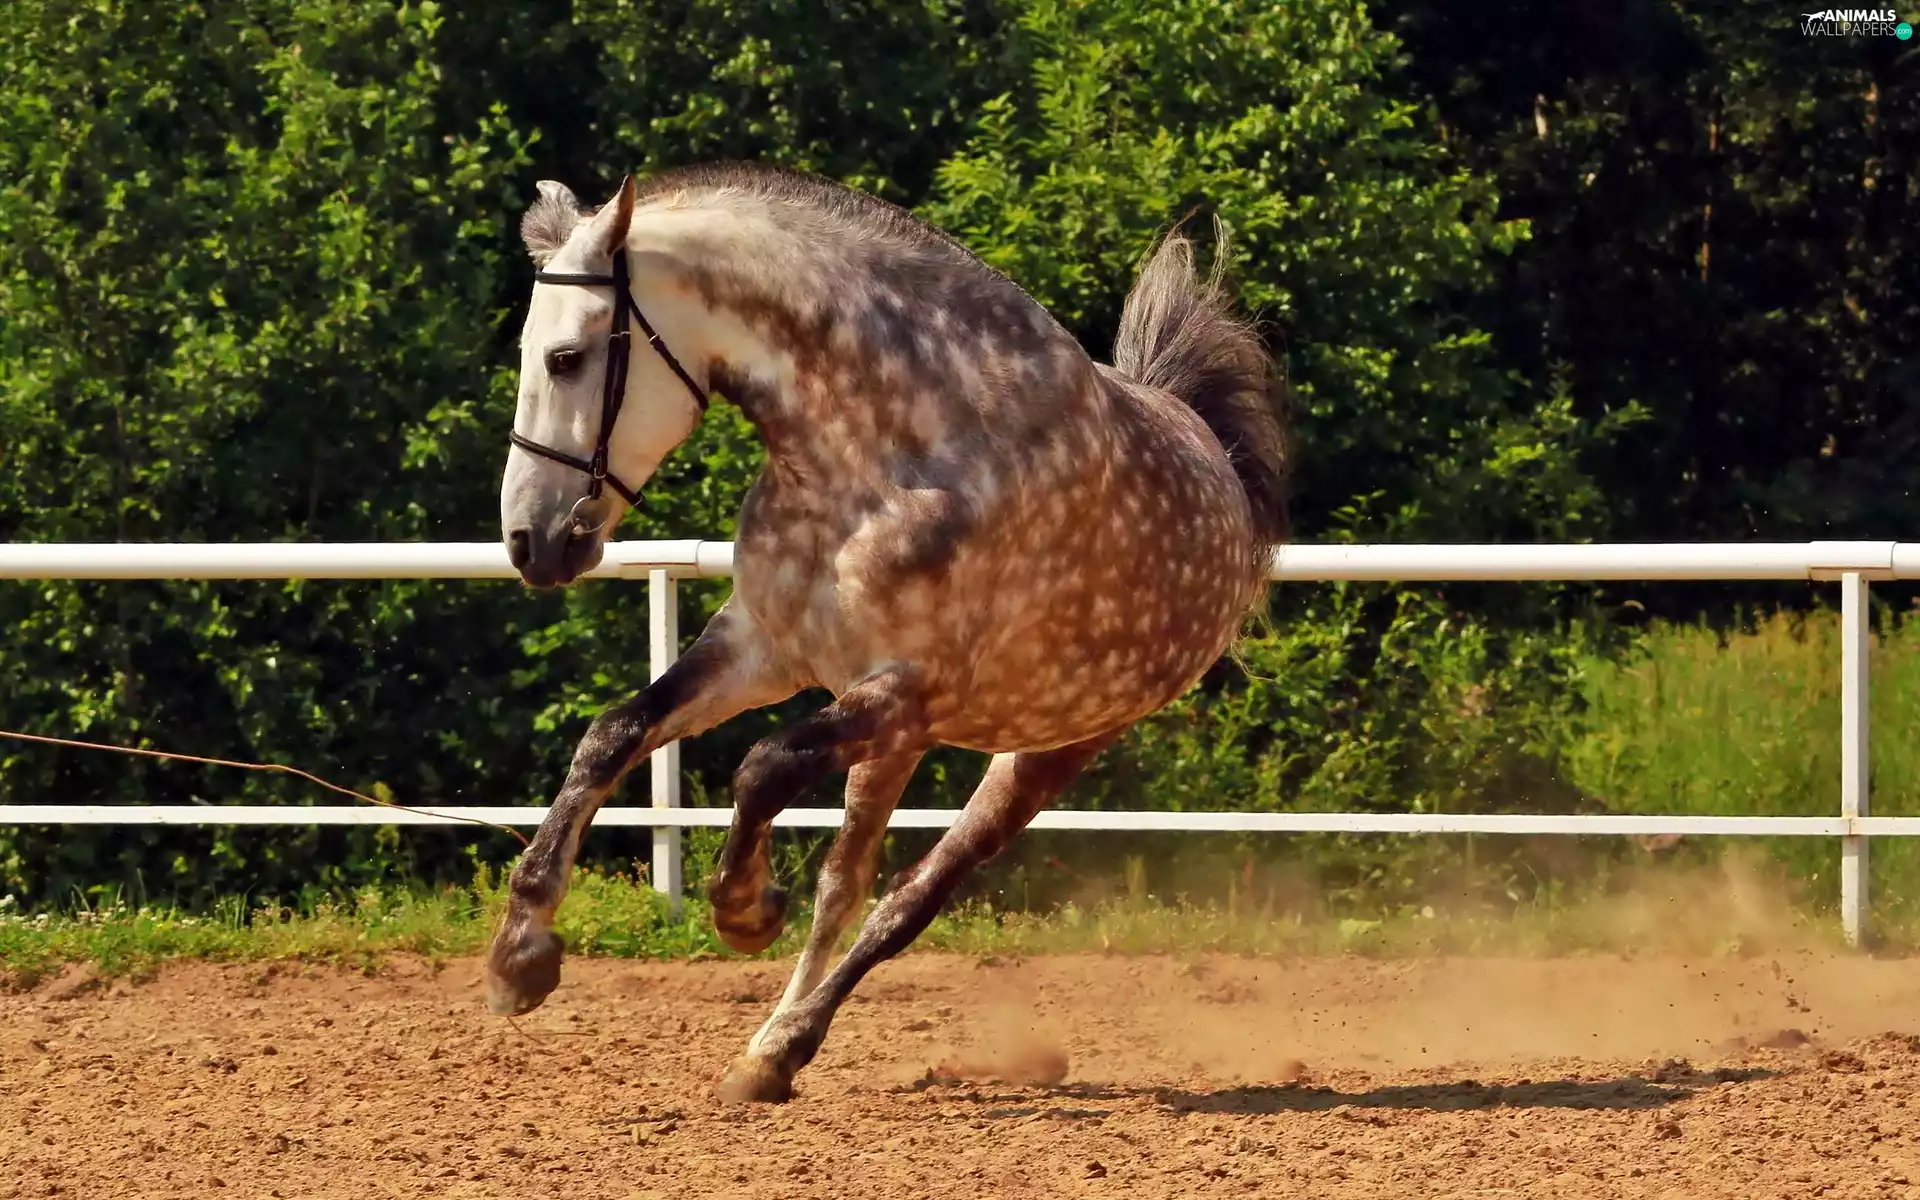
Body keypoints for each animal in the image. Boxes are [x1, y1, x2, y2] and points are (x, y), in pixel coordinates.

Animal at [483, 162, 1288, 1103]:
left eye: (567, 359)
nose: (531, 543)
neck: (882, 456)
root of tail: (1211, 452)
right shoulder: (763, 647)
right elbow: (614, 735)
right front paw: (521, 954)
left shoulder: (906, 689)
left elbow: (763, 766)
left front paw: (745, 908)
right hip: (902, 743)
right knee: (847, 883)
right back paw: (766, 1050)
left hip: (1039, 751)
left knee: (906, 897)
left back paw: (785, 1042)